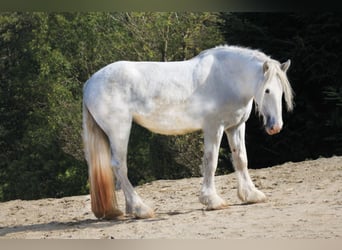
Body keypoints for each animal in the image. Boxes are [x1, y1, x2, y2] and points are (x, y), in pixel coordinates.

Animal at [83, 45, 294, 219]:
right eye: (267, 90)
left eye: (281, 91)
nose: (275, 126)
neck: (227, 77)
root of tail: (89, 84)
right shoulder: (213, 128)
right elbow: (211, 162)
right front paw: (212, 200)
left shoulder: (235, 126)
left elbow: (241, 159)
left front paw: (251, 195)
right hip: (119, 130)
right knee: (119, 166)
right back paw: (141, 209)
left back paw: (129, 209)